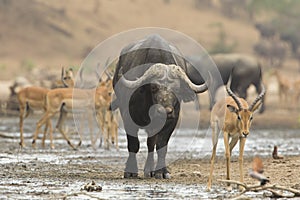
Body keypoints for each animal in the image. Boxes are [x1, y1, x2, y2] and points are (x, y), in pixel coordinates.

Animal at [112, 34, 209, 178]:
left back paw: (150, 170)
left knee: (151, 144)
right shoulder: (128, 118)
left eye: (177, 89)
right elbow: (134, 145)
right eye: (153, 87)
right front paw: (130, 171)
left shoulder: (172, 121)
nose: (164, 111)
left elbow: (161, 146)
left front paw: (162, 172)